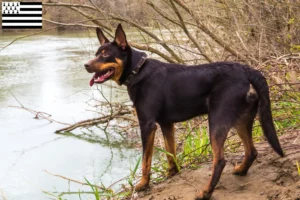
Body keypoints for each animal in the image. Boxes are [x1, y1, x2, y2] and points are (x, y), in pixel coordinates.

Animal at [84, 24, 284, 199]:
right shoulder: (166, 124)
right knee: (252, 151)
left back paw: (206, 192)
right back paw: (241, 170)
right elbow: (170, 152)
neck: (137, 70)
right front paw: (172, 173)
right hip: (242, 119)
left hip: (217, 122)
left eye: (106, 55)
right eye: (96, 54)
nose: (86, 65)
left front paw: (143, 184)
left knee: (220, 161)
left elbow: (146, 160)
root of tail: (247, 70)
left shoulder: (147, 125)